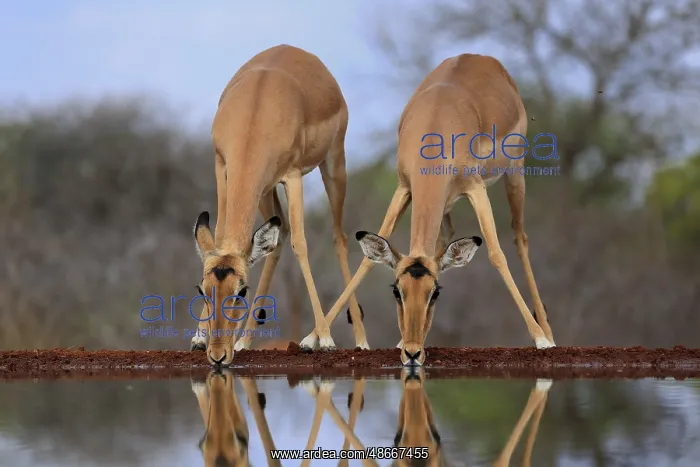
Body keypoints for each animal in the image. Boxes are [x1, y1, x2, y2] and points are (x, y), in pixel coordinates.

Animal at [191, 44, 369, 366]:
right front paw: (198, 337)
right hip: (265, 189)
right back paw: (244, 341)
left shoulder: (293, 176)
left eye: (241, 291)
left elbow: (302, 244)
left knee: (338, 236)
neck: (256, 113)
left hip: (334, 165)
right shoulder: (222, 166)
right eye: (203, 289)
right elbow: (222, 235)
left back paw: (358, 341)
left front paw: (323, 340)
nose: (218, 354)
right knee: (279, 234)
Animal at [301, 53, 556, 365]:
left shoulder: (475, 188)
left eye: (435, 293)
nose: (413, 352)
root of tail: (483, 58)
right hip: (446, 203)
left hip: (515, 174)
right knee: (447, 237)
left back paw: (547, 334)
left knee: (520, 238)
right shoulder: (404, 188)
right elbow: (368, 260)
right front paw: (312, 339)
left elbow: (497, 254)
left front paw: (540, 340)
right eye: (397, 291)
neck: (438, 121)